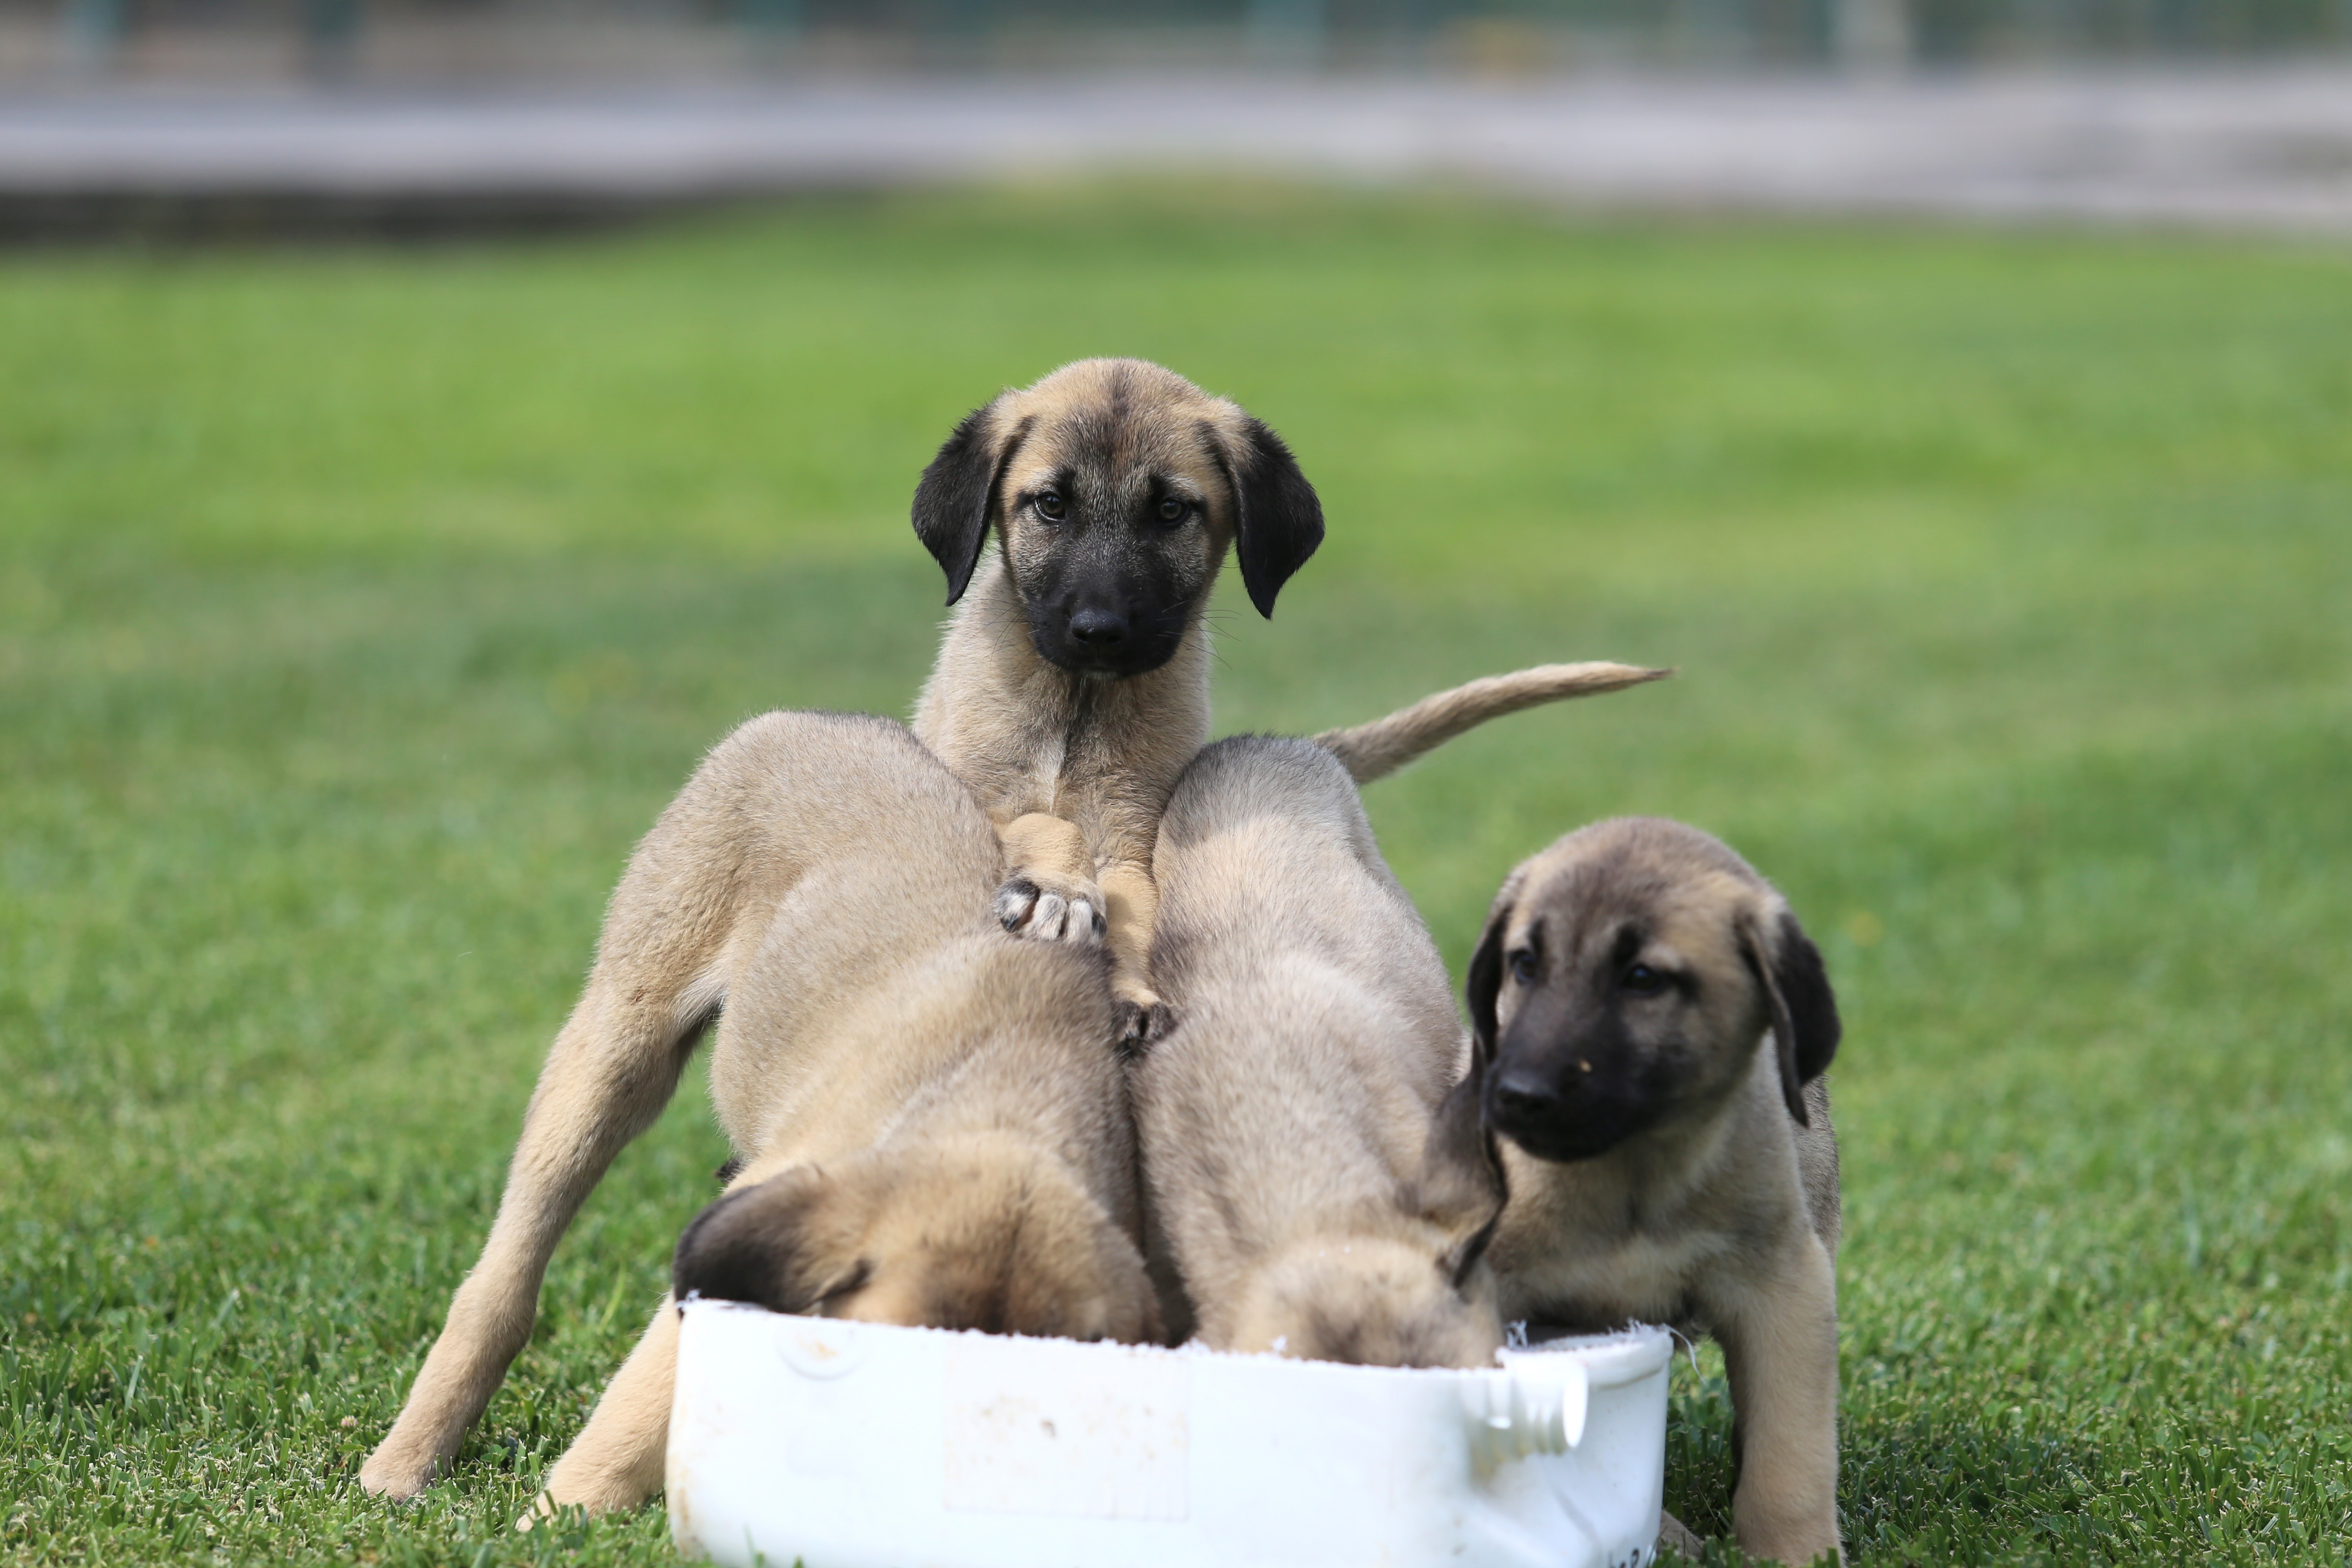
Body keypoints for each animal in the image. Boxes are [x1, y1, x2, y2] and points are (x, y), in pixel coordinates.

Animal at [360, 710, 1157, 1523]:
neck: (1009, 1107)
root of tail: (814, 717)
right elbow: (630, 1425)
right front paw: (555, 1527)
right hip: (617, 1045)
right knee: (505, 1274)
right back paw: (404, 1462)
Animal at [898, 355, 1656, 1044]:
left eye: (1171, 511)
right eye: (1051, 505)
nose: (1101, 632)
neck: (1079, 704)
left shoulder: (1133, 840)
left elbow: (1134, 912)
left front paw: (1129, 987)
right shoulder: (976, 788)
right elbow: (1042, 822)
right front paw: (1057, 889)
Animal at [1467, 818, 1834, 1561]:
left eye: (1643, 979)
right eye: (1525, 965)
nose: (1516, 1096)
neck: (1631, 1176)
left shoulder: (1784, 1286)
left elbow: (1790, 1455)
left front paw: (1794, 1554)